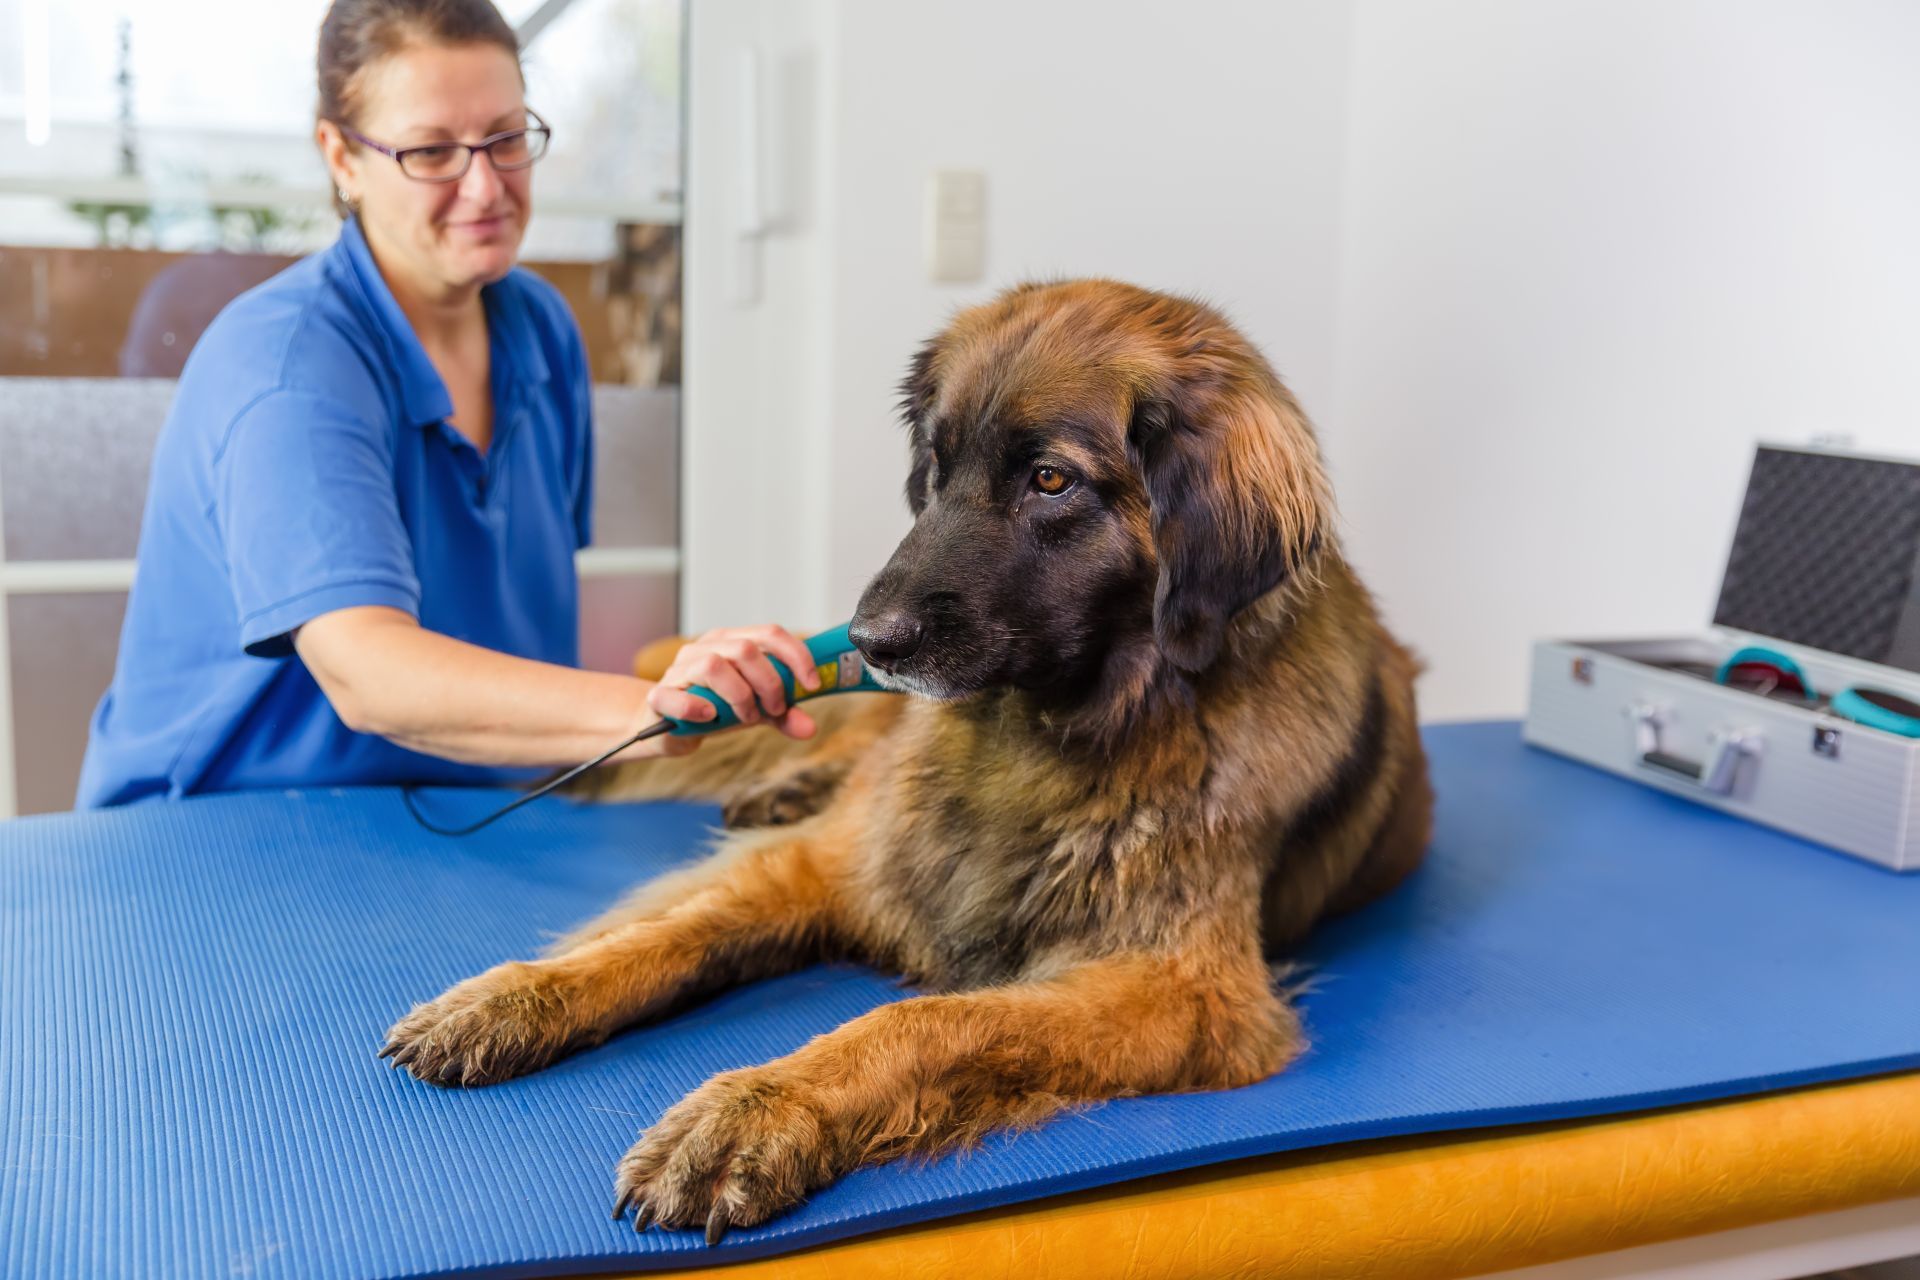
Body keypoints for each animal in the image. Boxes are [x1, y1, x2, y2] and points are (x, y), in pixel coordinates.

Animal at [378, 278, 1428, 1243]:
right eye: (936, 463)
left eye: (1052, 481)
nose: (870, 643)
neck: (1046, 735)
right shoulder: (839, 862)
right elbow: (666, 932)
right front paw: (517, 996)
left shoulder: (1186, 992)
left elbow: (926, 1019)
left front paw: (756, 1110)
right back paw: (786, 785)